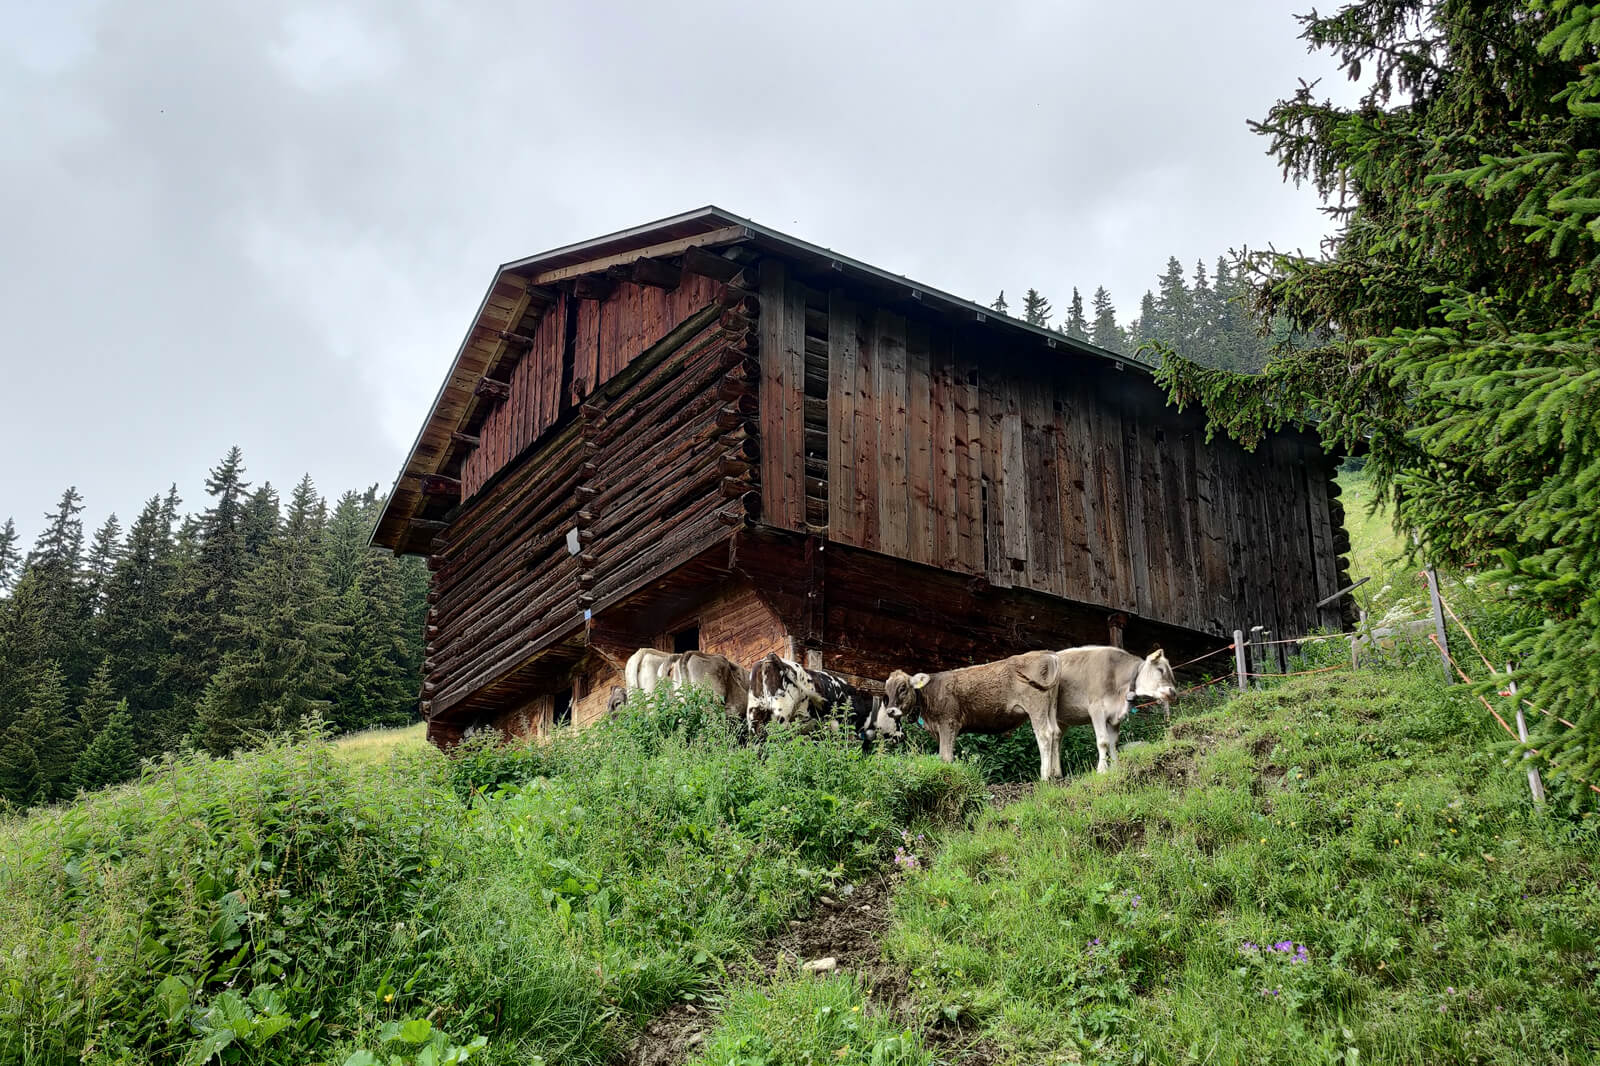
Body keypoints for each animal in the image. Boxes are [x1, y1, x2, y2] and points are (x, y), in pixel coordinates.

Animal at [889, 646, 1062, 781]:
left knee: (1045, 734)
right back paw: (1056, 774)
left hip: (1036, 706)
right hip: (1051, 706)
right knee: (1056, 732)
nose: (891, 711)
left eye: (903, 688)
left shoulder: (948, 723)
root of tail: (1046, 653)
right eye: (887, 690)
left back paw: (1045, 776)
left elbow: (946, 756)